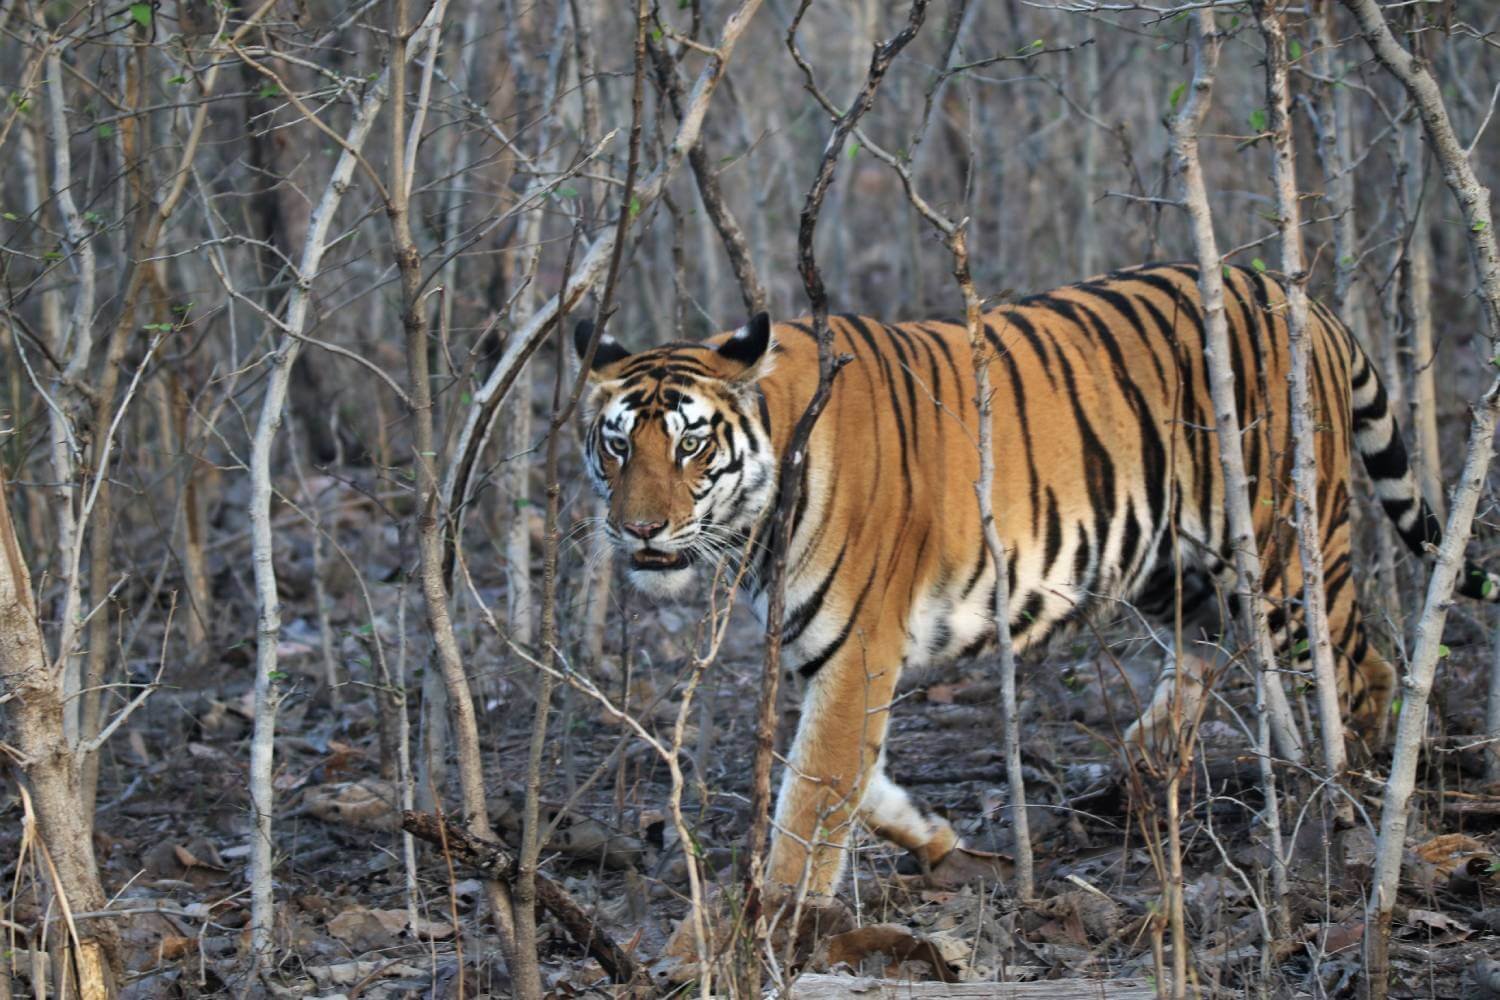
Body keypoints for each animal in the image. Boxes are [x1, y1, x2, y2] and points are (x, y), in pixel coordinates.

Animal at [573, 260, 1500, 899]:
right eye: (616, 446)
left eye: (691, 445)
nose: (638, 529)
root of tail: (1298, 294)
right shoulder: (828, 659)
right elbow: (852, 785)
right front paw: (934, 836)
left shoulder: (856, 652)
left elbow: (809, 804)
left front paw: (762, 923)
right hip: (1176, 565)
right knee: (1201, 656)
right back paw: (1141, 778)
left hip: (1282, 558)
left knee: (1365, 669)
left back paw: (1348, 805)